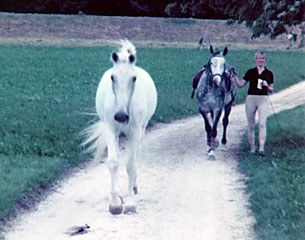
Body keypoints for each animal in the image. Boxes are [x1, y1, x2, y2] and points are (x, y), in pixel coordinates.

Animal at [82, 39, 157, 214]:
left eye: (134, 78)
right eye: (112, 77)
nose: (121, 116)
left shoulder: (135, 132)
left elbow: (130, 165)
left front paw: (129, 203)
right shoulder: (110, 129)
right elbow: (113, 162)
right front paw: (115, 203)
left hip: (142, 129)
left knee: (136, 156)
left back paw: (134, 187)